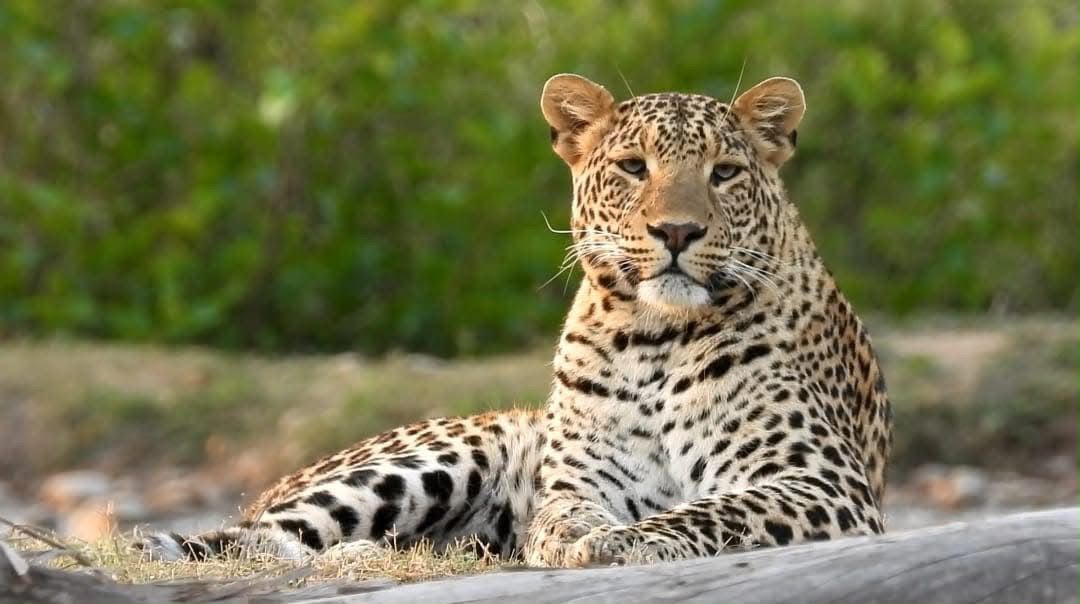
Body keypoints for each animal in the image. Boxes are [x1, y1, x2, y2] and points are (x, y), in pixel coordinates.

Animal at [140, 73, 892, 568]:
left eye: (726, 172)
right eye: (633, 166)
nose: (676, 230)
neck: (656, 339)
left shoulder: (821, 480)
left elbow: (715, 508)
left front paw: (620, 542)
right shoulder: (580, 480)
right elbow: (563, 513)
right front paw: (567, 540)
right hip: (441, 456)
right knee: (250, 536)